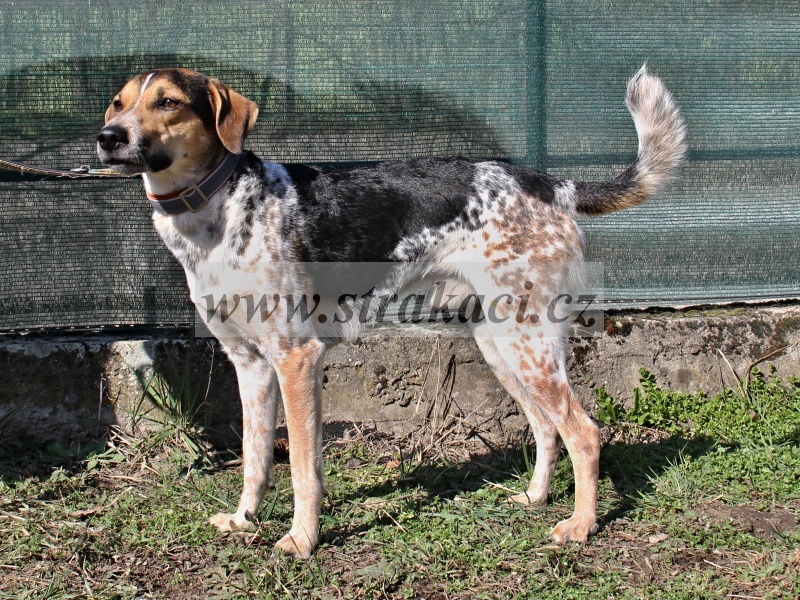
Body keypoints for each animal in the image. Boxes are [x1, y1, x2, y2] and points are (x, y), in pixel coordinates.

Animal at [97, 66, 686, 558]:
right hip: (503, 346)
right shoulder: (250, 365)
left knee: (583, 433)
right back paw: (535, 498)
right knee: (546, 428)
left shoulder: (296, 359)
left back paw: (580, 527)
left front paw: (302, 541)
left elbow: (303, 470)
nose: (107, 137)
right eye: (117, 103)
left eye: (168, 102)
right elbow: (255, 459)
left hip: (528, 346)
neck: (219, 210)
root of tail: (551, 184)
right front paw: (245, 521)